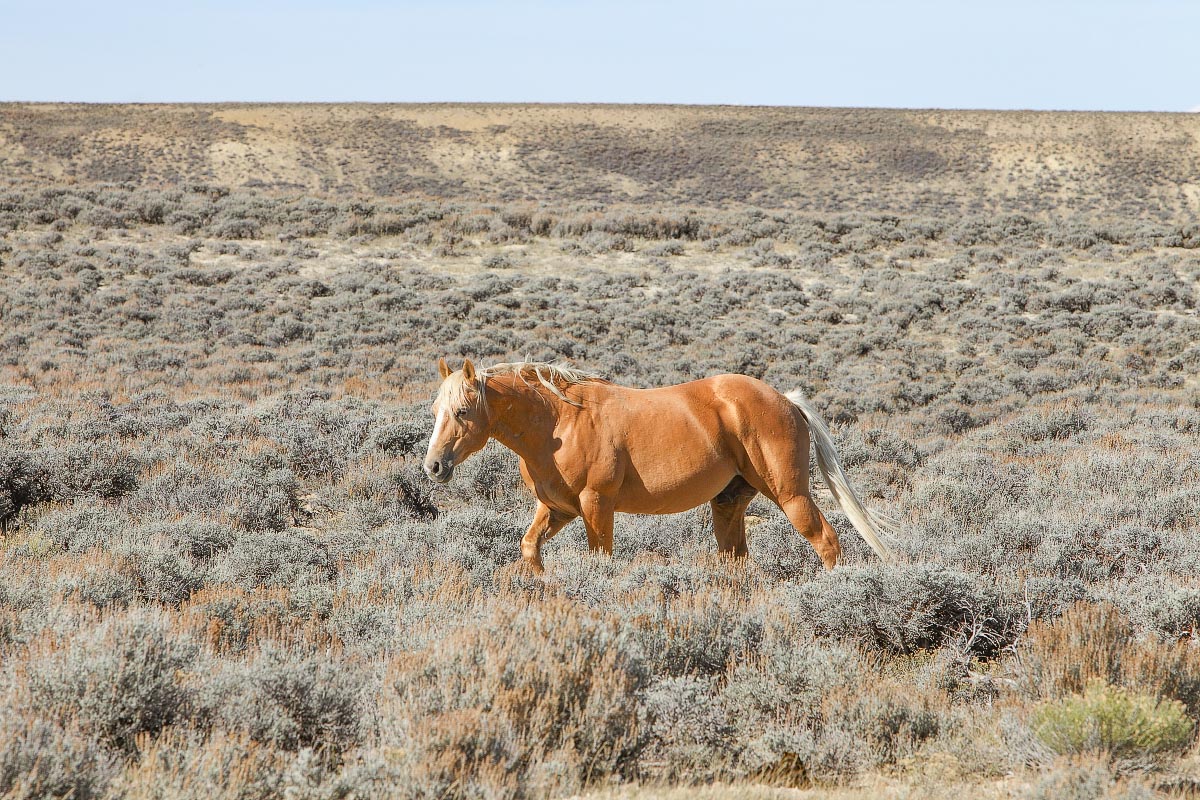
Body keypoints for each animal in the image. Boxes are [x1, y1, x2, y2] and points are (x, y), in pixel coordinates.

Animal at [422, 359, 892, 573]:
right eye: (435, 410)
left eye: (462, 411)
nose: (434, 467)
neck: (559, 421)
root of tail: (787, 401)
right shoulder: (558, 509)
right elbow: (529, 547)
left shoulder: (596, 506)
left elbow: (601, 559)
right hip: (728, 504)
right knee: (736, 558)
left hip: (791, 496)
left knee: (827, 541)